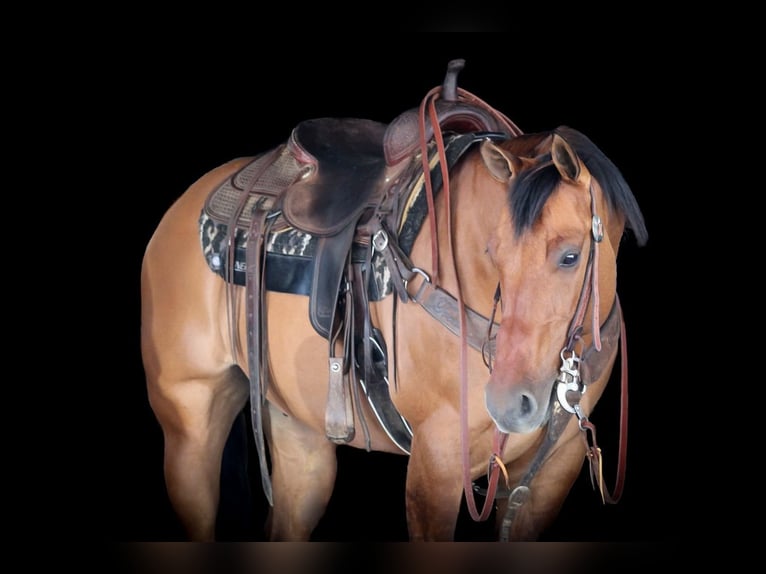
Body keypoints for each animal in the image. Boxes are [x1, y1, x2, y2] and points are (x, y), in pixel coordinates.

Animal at [140, 59, 648, 541]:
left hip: (298, 433)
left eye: (571, 256)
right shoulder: (437, 460)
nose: (509, 404)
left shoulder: (549, 474)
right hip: (190, 422)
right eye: (494, 252)